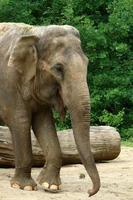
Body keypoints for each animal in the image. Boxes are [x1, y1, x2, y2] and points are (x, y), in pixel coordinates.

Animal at [0, 22, 100, 196]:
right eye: (58, 68)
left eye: (87, 63)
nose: (89, 191)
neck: (35, 31)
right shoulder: (8, 81)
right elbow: (20, 121)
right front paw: (24, 186)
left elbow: (44, 124)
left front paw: (50, 185)